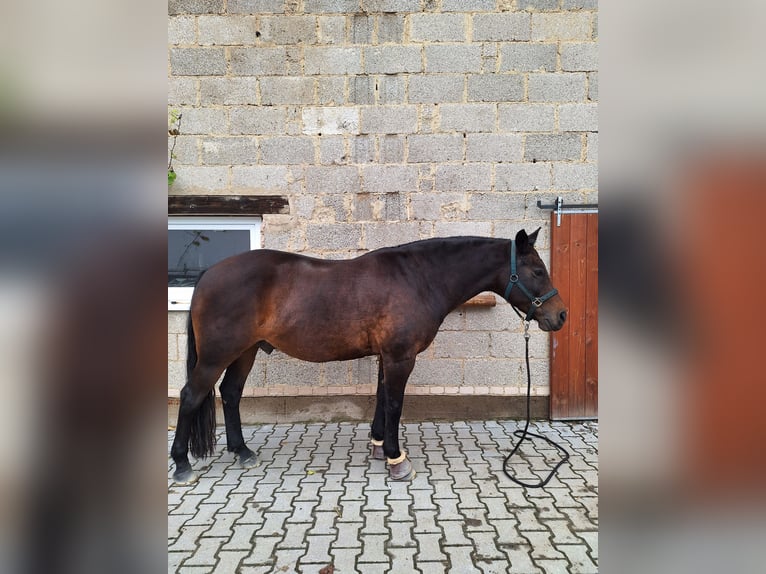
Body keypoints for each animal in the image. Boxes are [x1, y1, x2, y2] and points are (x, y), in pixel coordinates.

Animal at [171, 230, 568, 486]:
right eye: (537, 271)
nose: (561, 316)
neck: (419, 278)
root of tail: (209, 273)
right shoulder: (399, 358)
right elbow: (394, 404)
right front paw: (396, 460)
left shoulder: (386, 357)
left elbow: (381, 398)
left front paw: (378, 447)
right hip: (217, 355)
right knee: (191, 396)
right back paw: (181, 464)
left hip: (246, 351)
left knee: (231, 394)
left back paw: (242, 451)